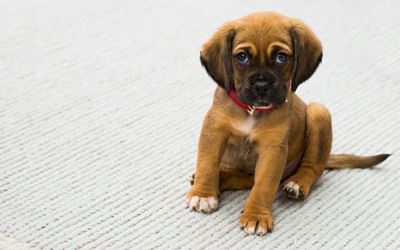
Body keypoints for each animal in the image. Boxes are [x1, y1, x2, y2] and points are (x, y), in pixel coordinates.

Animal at [186, 11, 390, 234]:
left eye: (280, 57)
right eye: (242, 57)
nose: (261, 85)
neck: (252, 111)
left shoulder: (272, 150)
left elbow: (264, 185)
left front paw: (256, 216)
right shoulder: (214, 131)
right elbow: (207, 164)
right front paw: (203, 194)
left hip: (319, 113)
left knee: (312, 168)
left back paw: (297, 184)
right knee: (245, 178)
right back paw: (219, 179)